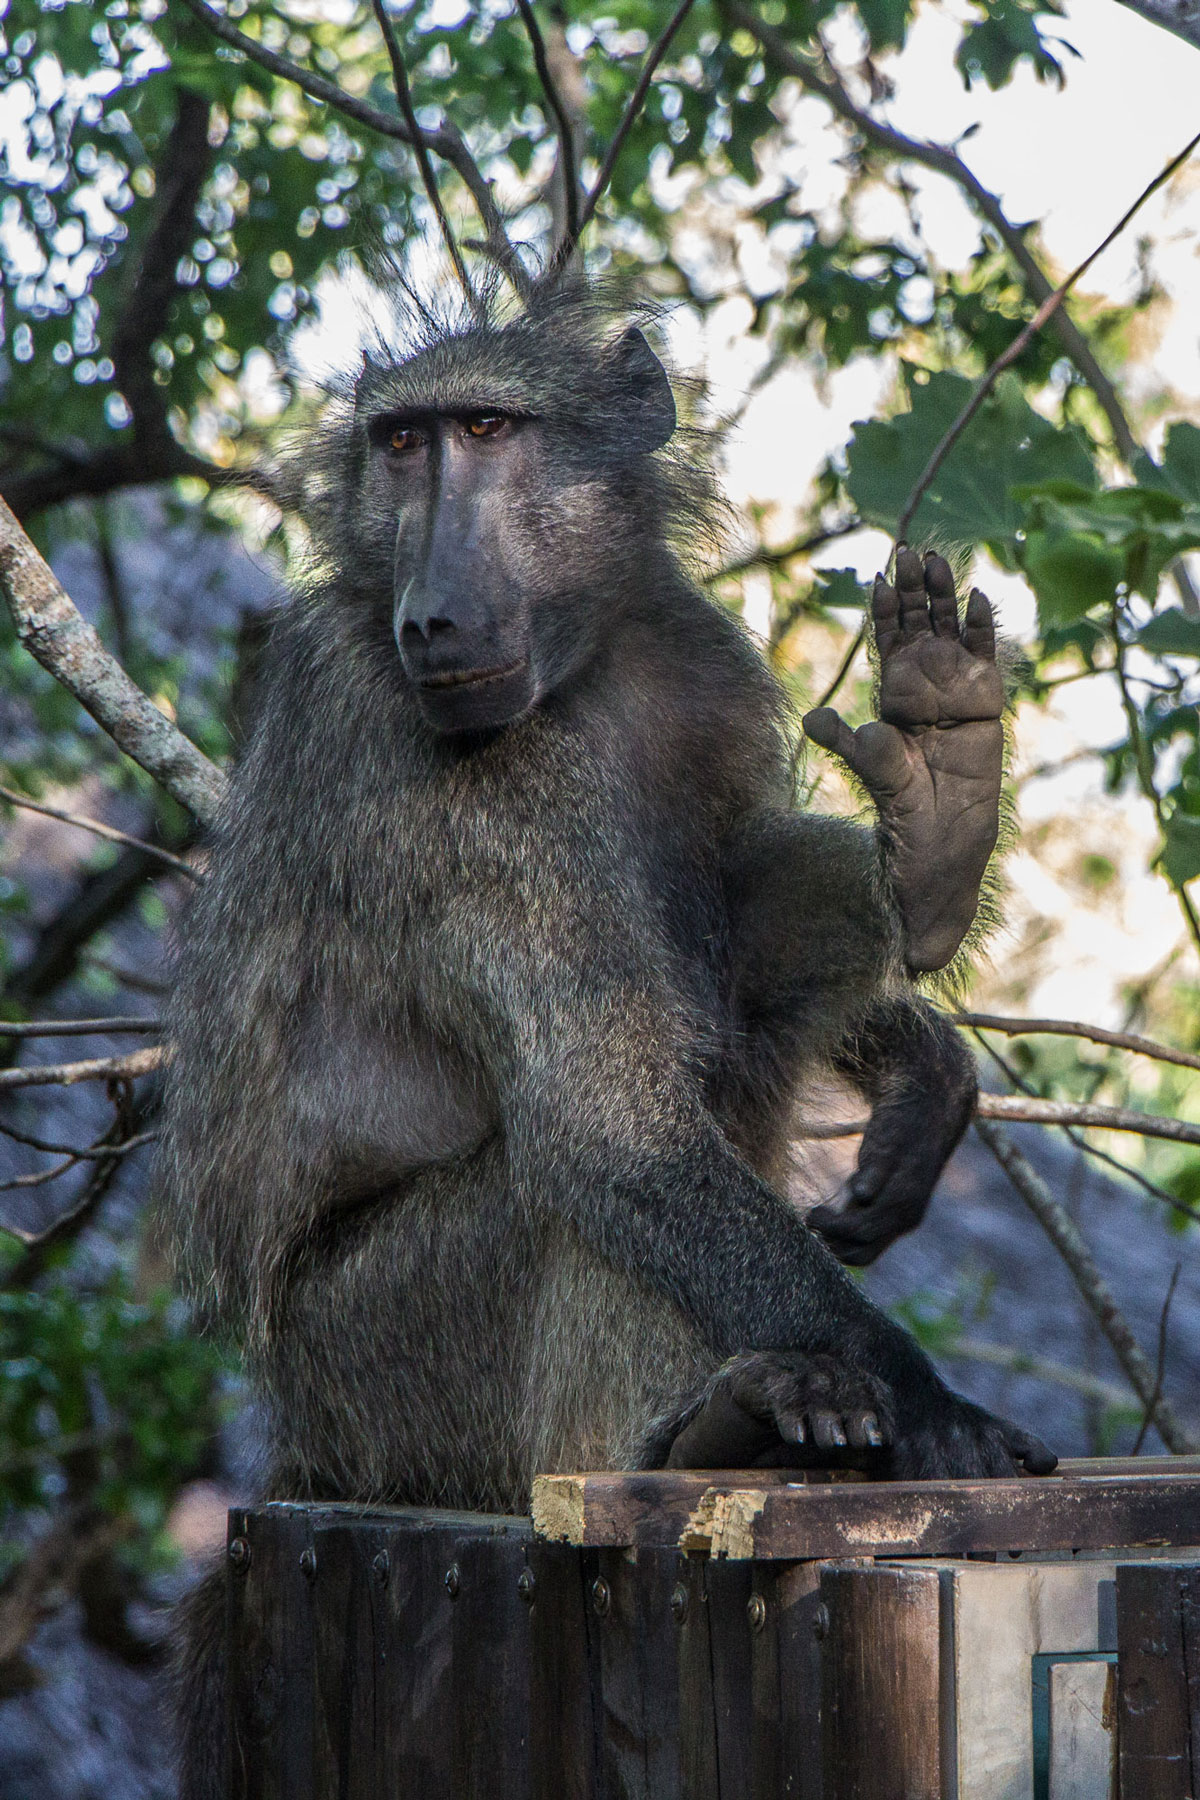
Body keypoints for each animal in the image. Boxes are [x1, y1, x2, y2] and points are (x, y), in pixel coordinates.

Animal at [160, 287, 1054, 1794]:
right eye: (400, 447)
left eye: (484, 430)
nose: (433, 614)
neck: (584, 662)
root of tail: (296, 1442)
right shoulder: (448, 770)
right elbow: (606, 1129)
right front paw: (924, 1400)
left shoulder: (700, 662)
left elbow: (742, 888)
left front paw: (921, 1032)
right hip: (378, 1369)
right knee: (566, 1192)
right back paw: (712, 1427)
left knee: (730, 957)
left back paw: (934, 837)